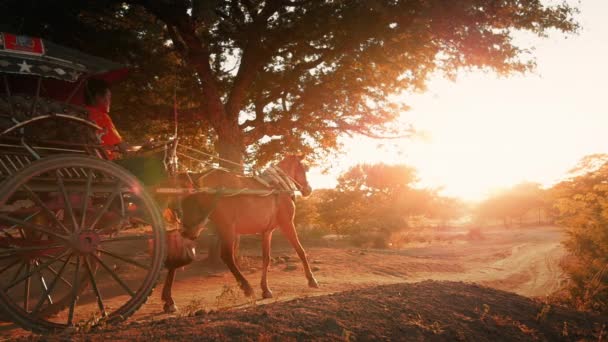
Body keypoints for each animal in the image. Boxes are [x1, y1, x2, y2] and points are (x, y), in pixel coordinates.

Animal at [159, 155, 320, 312]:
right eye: (304, 168)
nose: (308, 189)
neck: (278, 187)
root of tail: (197, 178)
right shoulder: (287, 224)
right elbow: (301, 251)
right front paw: (312, 280)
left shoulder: (267, 231)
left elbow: (266, 258)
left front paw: (265, 289)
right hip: (226, 228)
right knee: (227, 256)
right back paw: (247, 288)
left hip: (194, 226)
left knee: (177, 255)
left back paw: (169, 301)